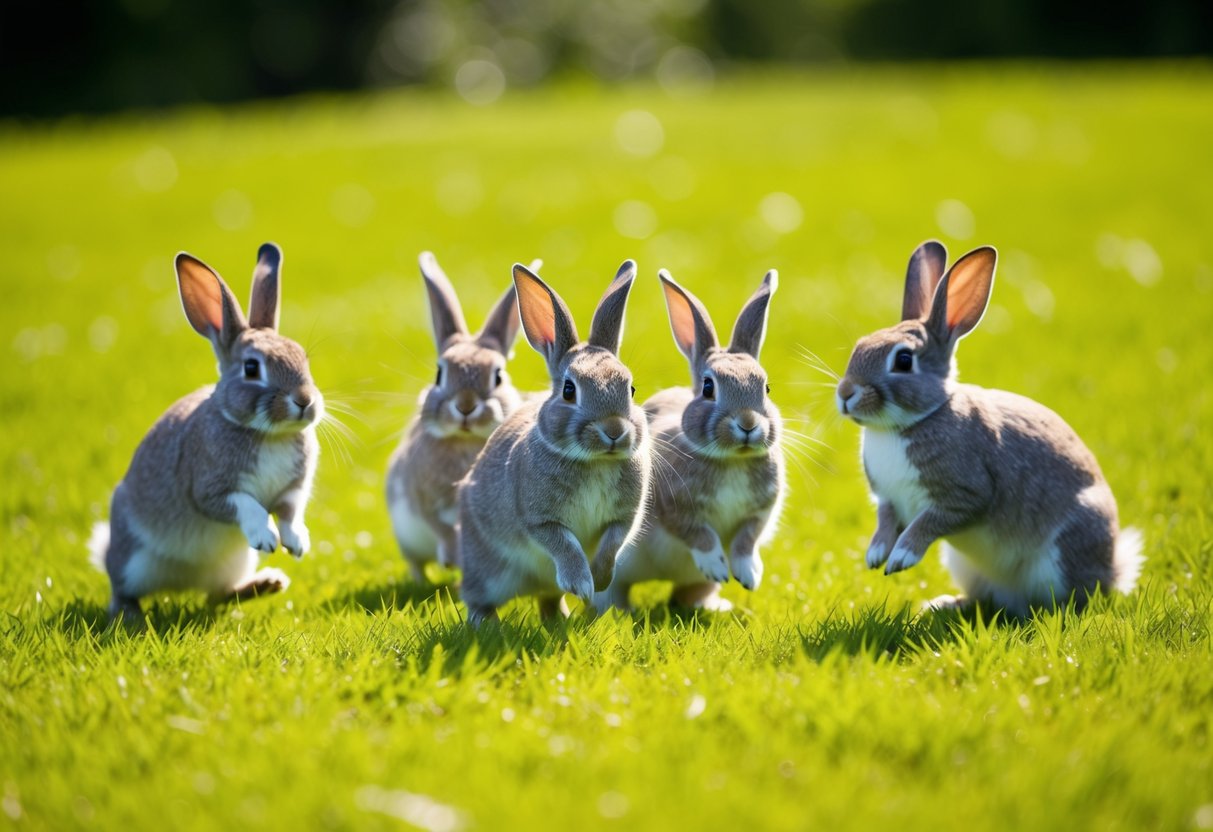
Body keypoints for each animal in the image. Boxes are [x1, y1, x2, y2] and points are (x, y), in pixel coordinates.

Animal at [87, 243, 323, 621]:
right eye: (252, 368)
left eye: (303, 358)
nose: (304, 400)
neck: (267, 433)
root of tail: (181, 581)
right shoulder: (208, 490)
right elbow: (245, 504)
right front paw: (267, 537)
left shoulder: (292, 490)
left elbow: (289, 512)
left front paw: (297, 543)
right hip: (131, 559)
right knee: (121, 589)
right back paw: (130, 615)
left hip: (235, 562)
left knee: (218, 594)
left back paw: (268, 584)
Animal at [385, 252, 534, 582]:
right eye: (439, 374)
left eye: (498, 376)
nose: (465, 406)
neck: (465, 442)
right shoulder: (425, 502)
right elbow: (442, 528)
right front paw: (452, 559)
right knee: (416, 564)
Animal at [457, 260, 652, 624]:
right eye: (569, 390)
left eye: (631, 389)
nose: (614, 430)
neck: (595, 461)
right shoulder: (540, 519)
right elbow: (564, 545)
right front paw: (582, 585)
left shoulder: (623, 518)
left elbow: (612, 543)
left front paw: (599, 580)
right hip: (485, 570)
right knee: (479, 599)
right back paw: (485, 624)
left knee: (548, 599)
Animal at [597, 269, 786, 613]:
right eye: (709, 388)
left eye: (766, 388)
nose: (748, 424)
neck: (731, 459)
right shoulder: (674, 507)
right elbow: (699, 534)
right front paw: (717, 564)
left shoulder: (759, 513)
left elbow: (746, 540)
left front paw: (749, 576)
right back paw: (617, 611)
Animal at [835, 241, 1143, 615]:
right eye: (860, 345)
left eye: (904, 361)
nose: (845, 393)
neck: (908, 423)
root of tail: (1113, 572)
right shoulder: (887, 499)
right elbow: (884, 521)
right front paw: (876, 554)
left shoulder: (966, 496)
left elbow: (928, 522)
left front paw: (901, 558)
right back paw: (943, 605)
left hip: (1069, 546)